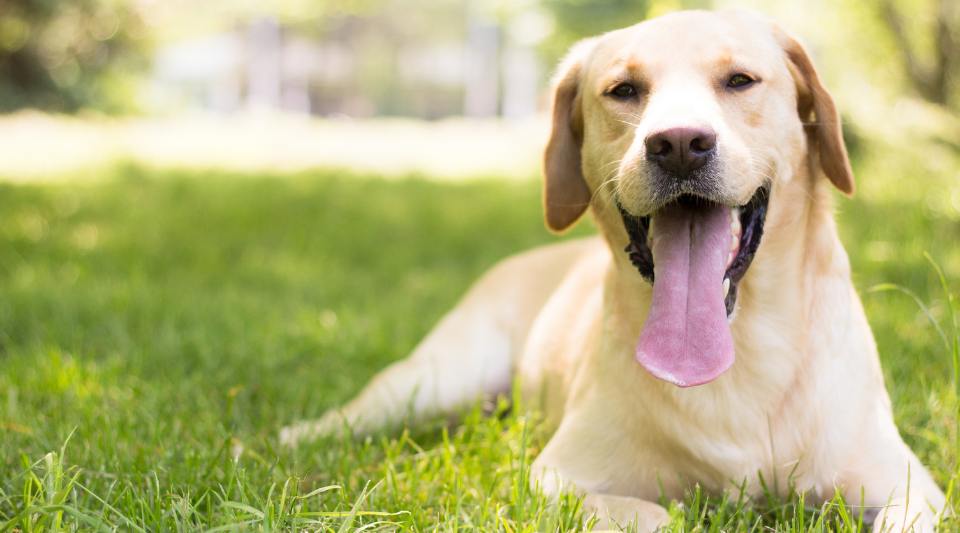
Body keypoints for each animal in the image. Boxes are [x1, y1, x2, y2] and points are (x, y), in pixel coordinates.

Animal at [284, 9, 944, 532]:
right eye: (623, 89)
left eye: (739, 80)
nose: (678, 144)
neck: (739, 352)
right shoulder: (556, 477)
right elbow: (656, 514)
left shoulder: (909, 487)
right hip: (437, 378)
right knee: (353, 417)